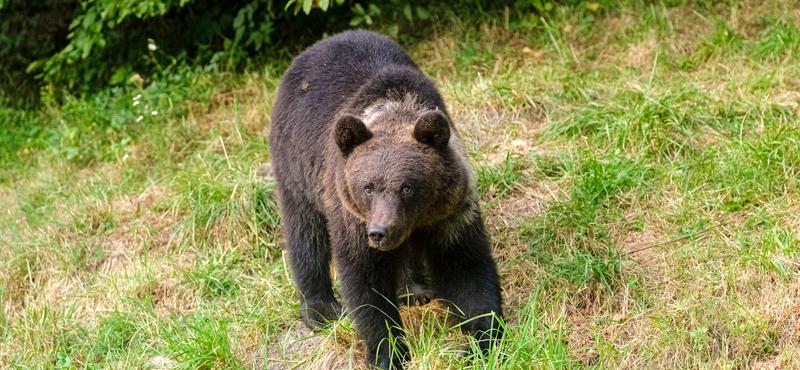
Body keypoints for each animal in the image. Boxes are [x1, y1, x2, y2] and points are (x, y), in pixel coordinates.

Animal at [272, 30, 504, 368]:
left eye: (407, 187)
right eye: (368, 187)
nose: (380, 232)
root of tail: (318, 44)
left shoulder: (450, 214)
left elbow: (465, 269)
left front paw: (483, 341)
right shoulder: (352, 214)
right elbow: (366, 282)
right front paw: (389, 353)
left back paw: (413, 289)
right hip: (296, 165)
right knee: (306, 230)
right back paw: (320, 309)